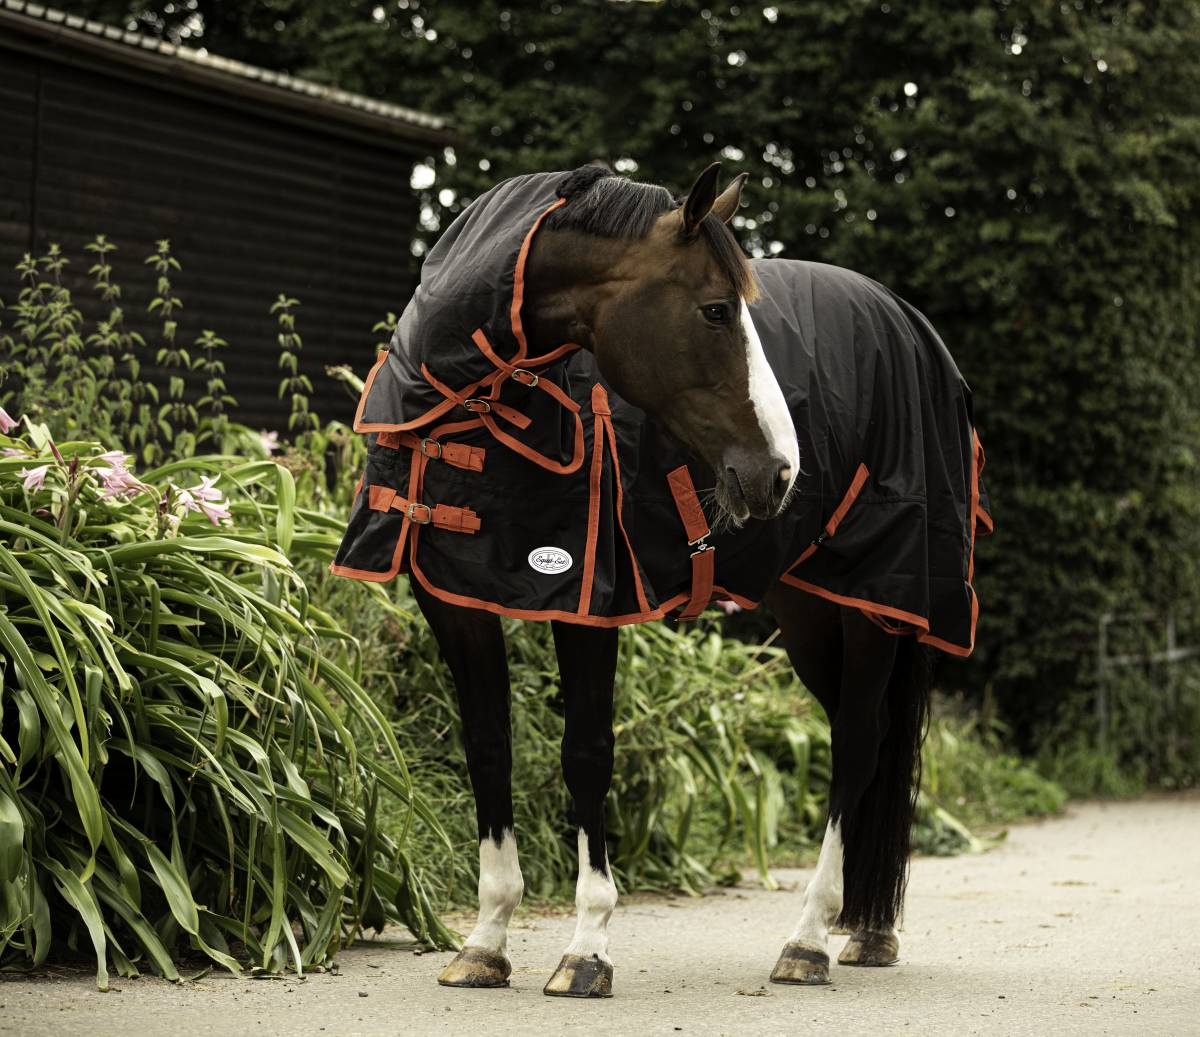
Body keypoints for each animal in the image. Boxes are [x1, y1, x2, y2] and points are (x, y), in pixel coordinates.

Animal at [332, 162, 989, 996]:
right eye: (715, 309)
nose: (781, 471)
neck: (473, 407)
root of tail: (908, 323)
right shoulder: (455, 599)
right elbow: (487, 747)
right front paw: (485, 940)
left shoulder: (584, 601)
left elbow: (586, 753)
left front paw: (587, 947)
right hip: (811, 611)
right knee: (857, 736)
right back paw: (867, 931)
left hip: (876, 601)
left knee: (858, 744)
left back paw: (808, 938)